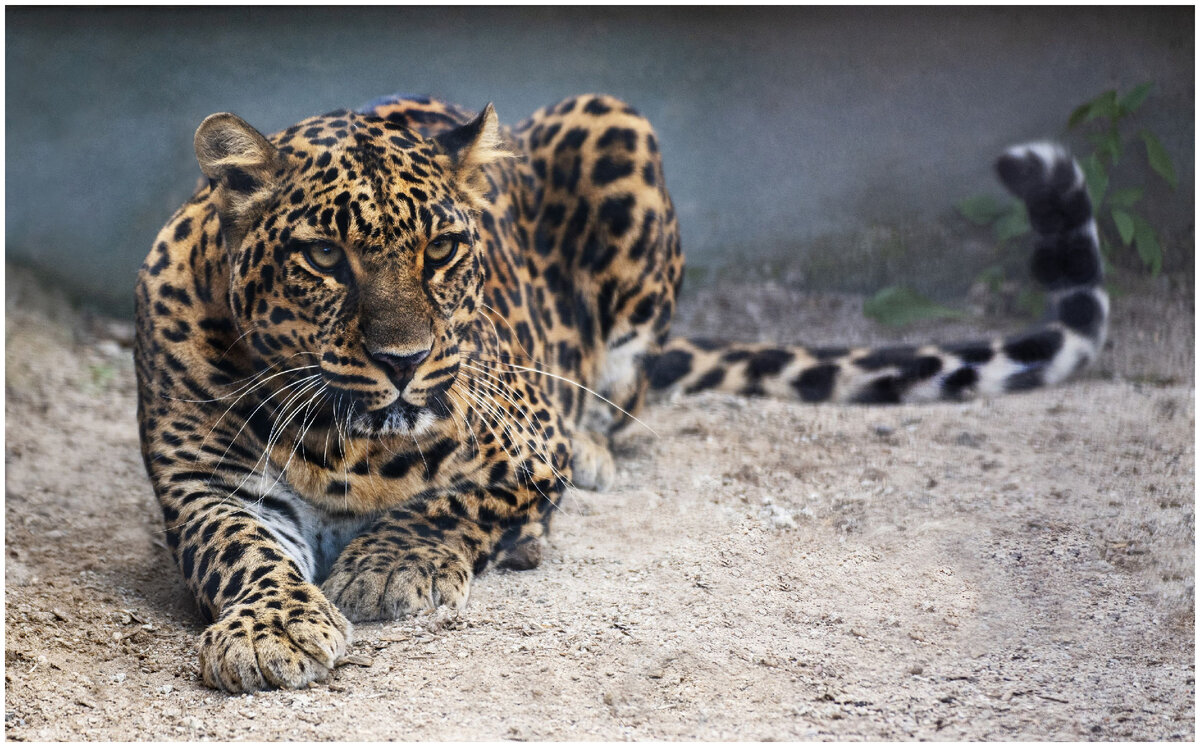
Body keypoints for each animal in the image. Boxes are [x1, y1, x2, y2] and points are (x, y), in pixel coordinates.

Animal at [138, 94, 1104, 696]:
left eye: (441, 252)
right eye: (325, 258)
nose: (405, 360)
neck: (346, 439)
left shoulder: (528, 445)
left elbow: (462, 501)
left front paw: (391, 565)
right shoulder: (205, 487)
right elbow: (240, 550)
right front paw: (272, 630)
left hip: (617, 127)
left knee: (624, 396)